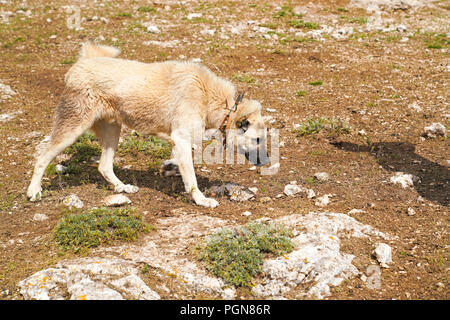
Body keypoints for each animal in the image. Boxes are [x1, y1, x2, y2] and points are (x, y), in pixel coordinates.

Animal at [26, 42, 268, 208]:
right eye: (257, 139)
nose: (266, 162)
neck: (211, 97)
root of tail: (81, 64)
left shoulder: (180, 141)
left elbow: (181, 163)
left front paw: (169, 168)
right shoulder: (181, 138)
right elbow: (191, 178)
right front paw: (201, 200)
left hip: (113, 131)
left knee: (104, 166)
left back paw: (122, 187)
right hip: (73, 129)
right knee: (42, 157)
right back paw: (34, 191)